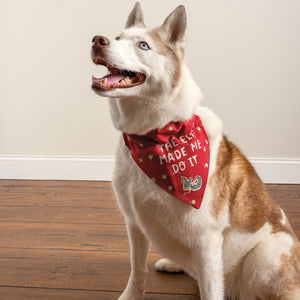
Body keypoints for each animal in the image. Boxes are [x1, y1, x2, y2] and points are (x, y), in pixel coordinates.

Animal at [92, 2, 300, 300]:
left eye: (143, 45)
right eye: (118, 37)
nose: (98, 40)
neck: (155, 136)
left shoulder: (206, 240)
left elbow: (210, 289)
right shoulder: (134, 223)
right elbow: (137, 270)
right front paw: (131, 295)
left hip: (265, 254)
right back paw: (174, 263)